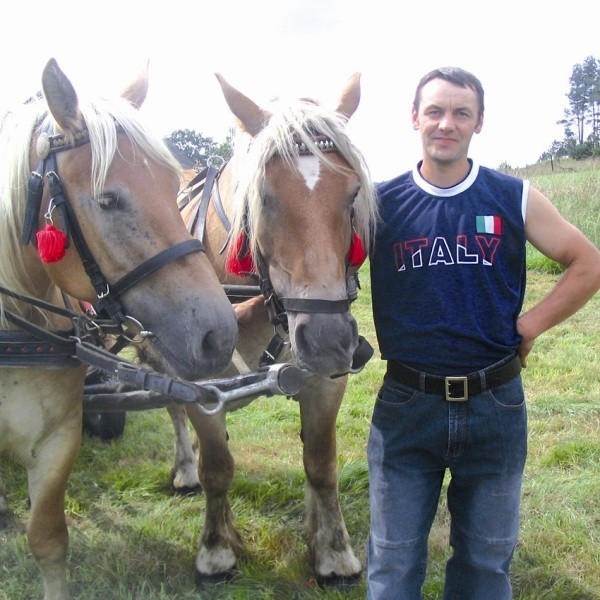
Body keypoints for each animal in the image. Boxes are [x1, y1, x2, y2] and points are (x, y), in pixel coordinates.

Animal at [173, 72, 378, 584]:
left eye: (352, 194)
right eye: (264, 197)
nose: (327, 341)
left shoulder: (326, 382)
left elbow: (321, 463)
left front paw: (333, 552)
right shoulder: (200, 382)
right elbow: (217, 468)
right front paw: (217, 550)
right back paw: (185, 469)